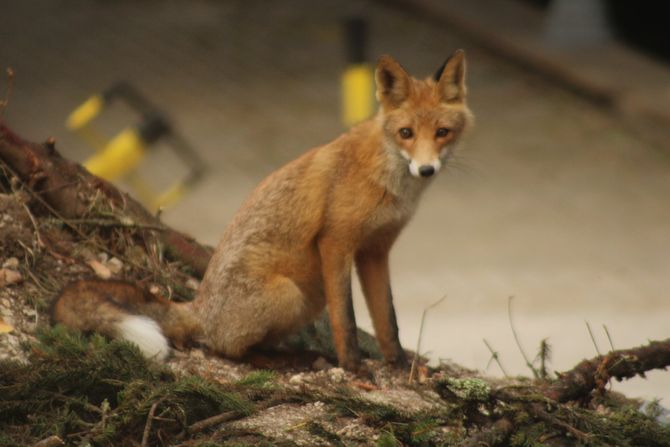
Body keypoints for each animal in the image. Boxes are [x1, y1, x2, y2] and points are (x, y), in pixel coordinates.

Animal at [53, 51, 472, 372]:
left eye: (442, 133)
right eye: (406, 134)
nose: (426, 169)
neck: (389, 180)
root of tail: (200, 307)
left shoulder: (375, 250)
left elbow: (388, 319)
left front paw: (399, 364)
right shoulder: (336, 242)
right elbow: (347, 319)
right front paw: (353, 368)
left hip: (308, 297)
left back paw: (291, 354)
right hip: (291, 294)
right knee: (222, 347)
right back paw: (268, 360)